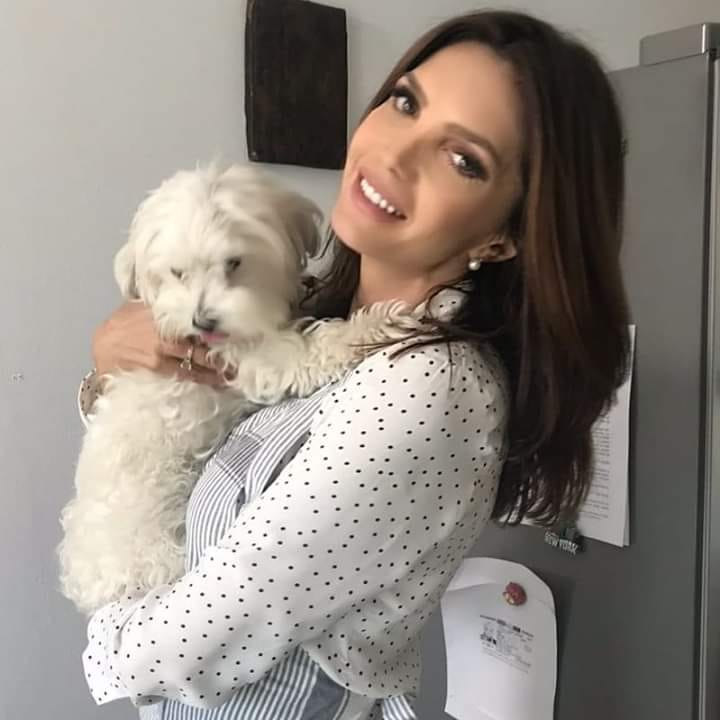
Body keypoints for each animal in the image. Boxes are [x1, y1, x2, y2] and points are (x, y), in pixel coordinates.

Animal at [57, 163, 420, 615]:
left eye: (233, 263)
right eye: (177, 273)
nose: (202, 321)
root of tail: (86, 579)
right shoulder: (252, 360)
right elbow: (310, 349)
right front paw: (374, 326)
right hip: (158, 557)